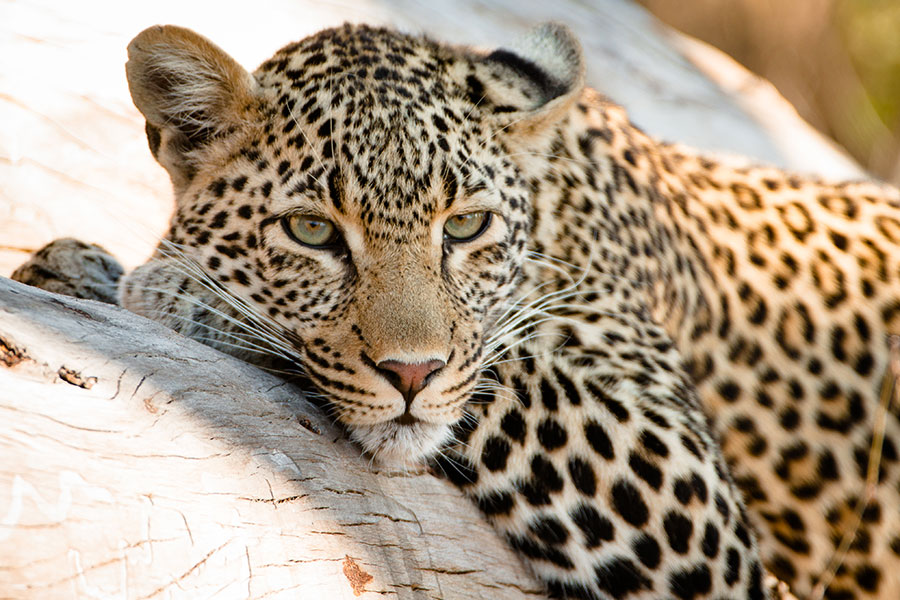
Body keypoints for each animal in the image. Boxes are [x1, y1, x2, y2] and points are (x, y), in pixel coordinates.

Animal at [12, 19, 900, 600]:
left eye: (466, 226)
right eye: (311, 231)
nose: (410, 374)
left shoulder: (694, 492)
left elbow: (512, 370)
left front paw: (178, 290)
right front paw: (75, 267)